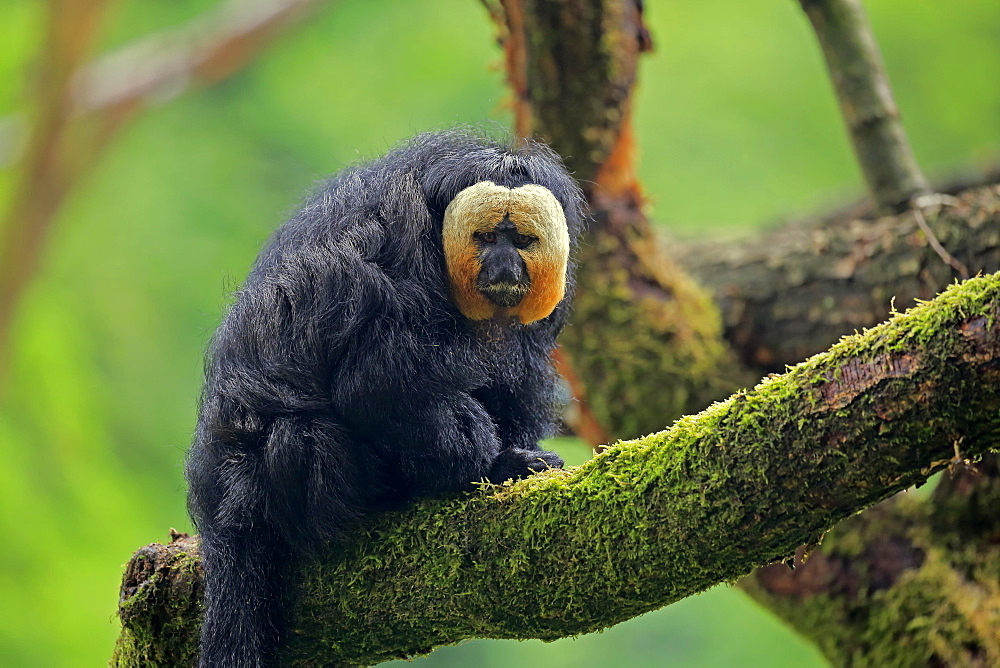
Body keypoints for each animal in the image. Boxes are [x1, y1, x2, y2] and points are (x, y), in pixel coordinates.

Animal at [186, 128, 584, 664]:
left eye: (521, 241)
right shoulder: (400, 246)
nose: (503, 266)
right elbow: (373, 383)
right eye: (484, 239)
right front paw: (491, 464)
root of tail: (223, 510)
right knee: (302, 433)